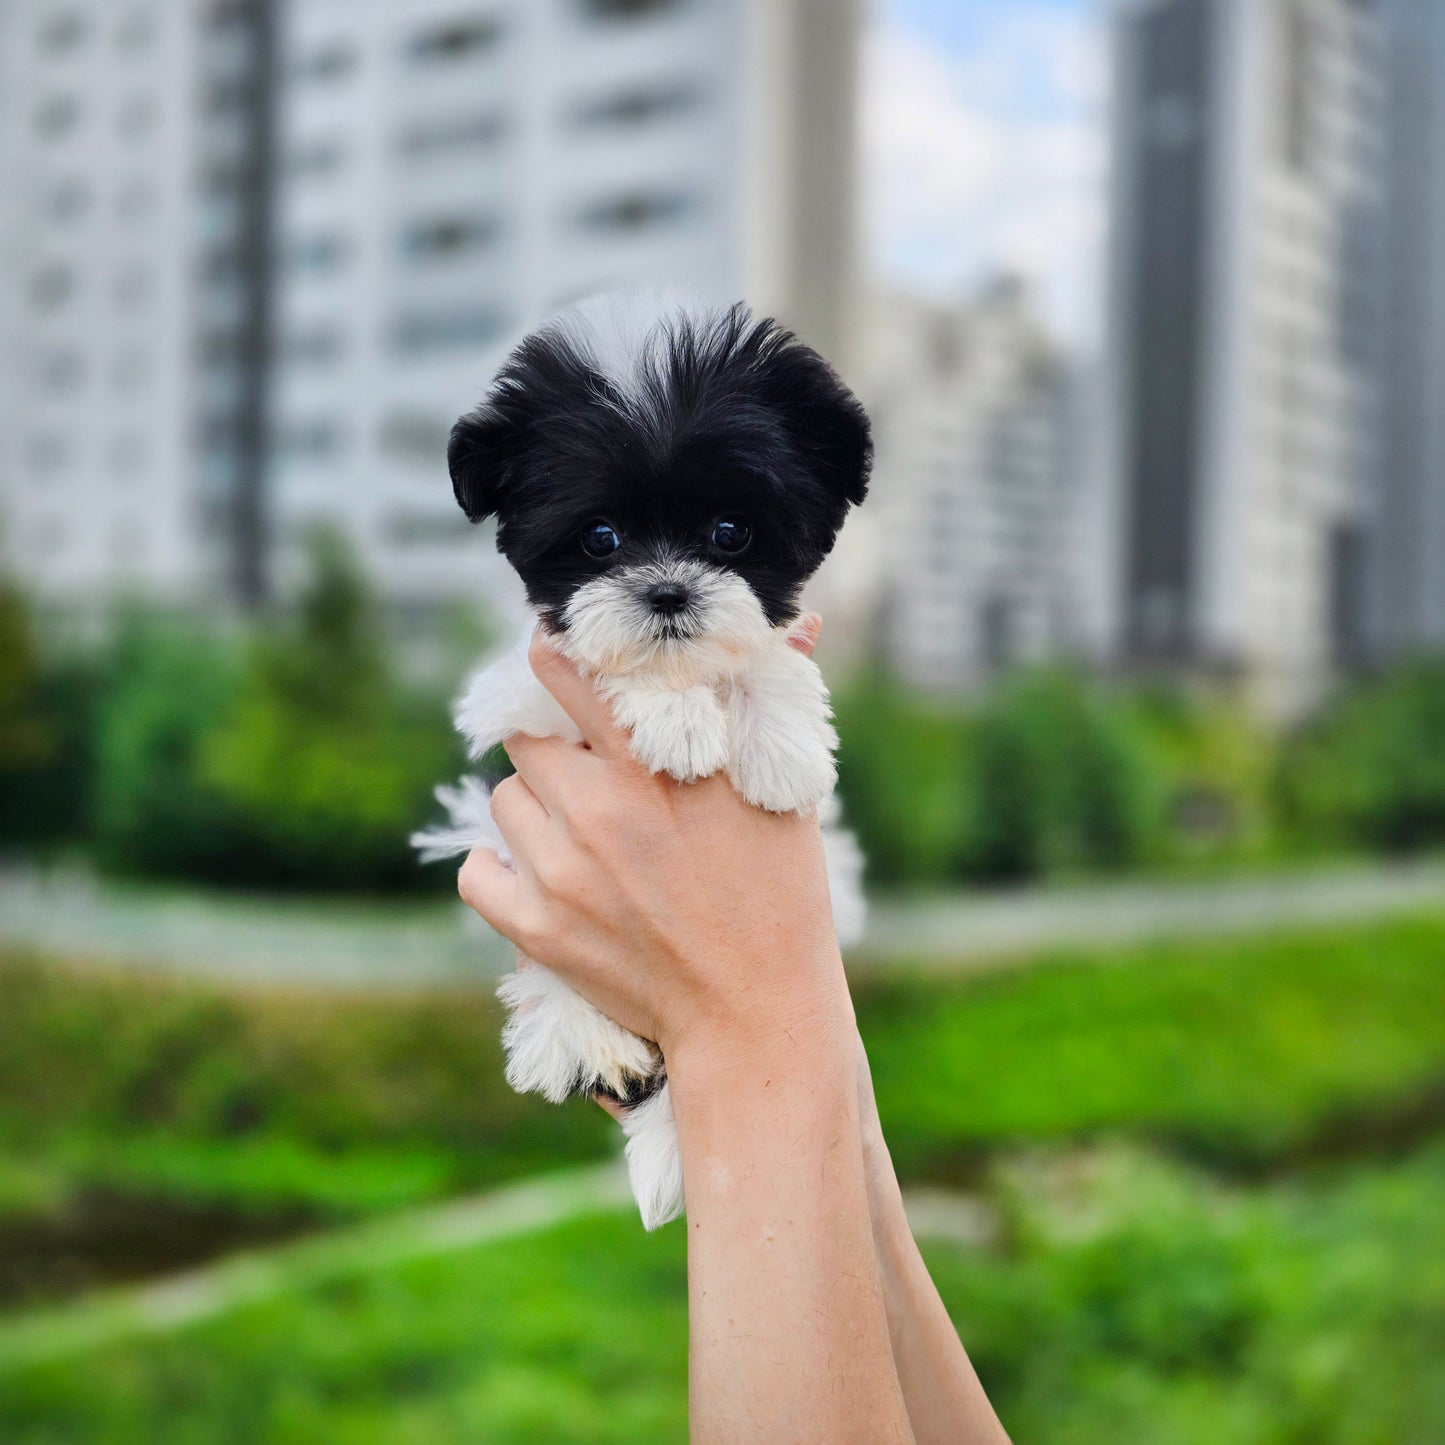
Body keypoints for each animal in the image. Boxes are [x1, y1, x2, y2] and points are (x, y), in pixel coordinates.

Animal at [416, 296, 867, 1231]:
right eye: (600, 538)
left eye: (730, 532)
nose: (666, 591)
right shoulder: (517, 694)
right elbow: (605, 667)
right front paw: (675, 719)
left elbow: (762, 652)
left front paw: (779, 744)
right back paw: (575, 1032)